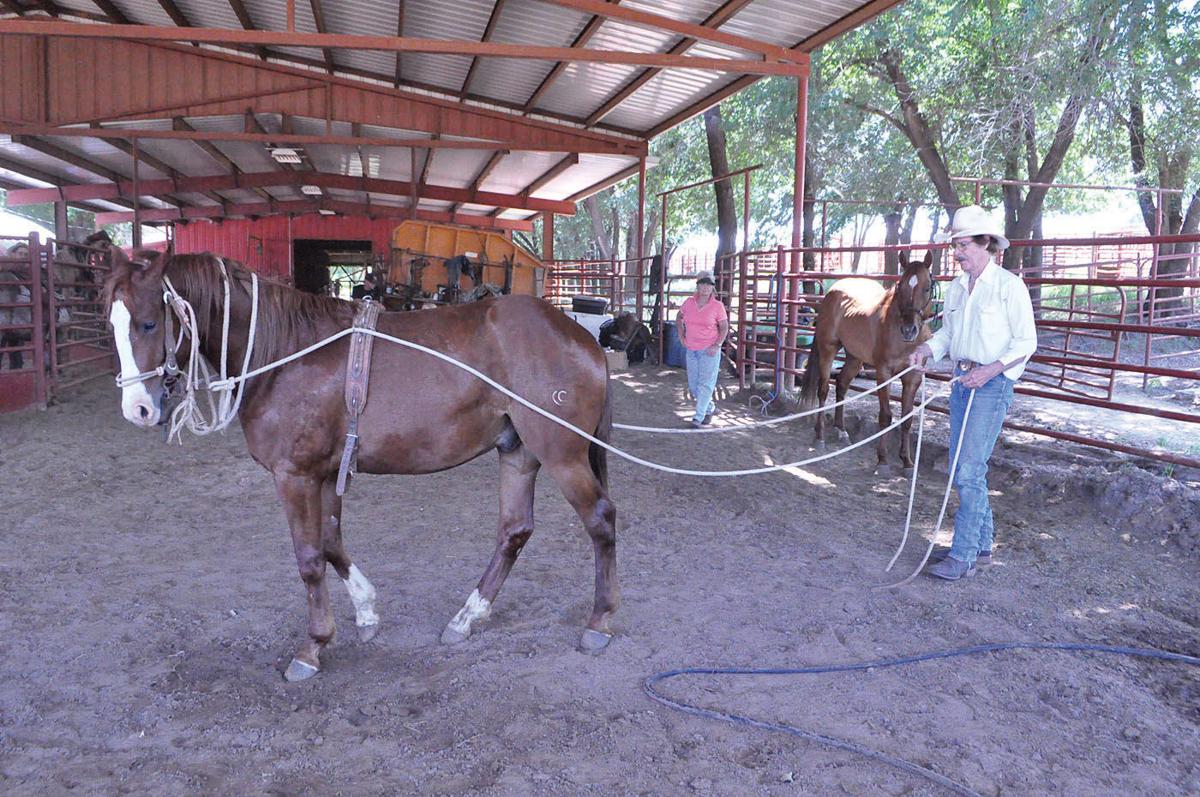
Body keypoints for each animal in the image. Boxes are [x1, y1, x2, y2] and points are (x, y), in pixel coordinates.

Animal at [103, 248, 618, 681]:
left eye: (148, 324)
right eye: (111, 324)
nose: (137, 409)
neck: (286, 354)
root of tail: (582, 337)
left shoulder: (295, 476)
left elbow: (310, 559)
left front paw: (313, 647)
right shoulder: (326, 473)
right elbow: (332, 544)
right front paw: (367, 613)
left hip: (562, 453)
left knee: (600, 520)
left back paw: (600, 622)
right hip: (518, 452)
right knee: (515, 530)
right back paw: (466, 618)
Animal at [798, 251, 936, 472]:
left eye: (926, 288)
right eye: (900, 286)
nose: (908, 330)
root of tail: (832, 292)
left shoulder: (913, 377)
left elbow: (907, 419)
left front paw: (907, 461)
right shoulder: (884, 373)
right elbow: (886, 416)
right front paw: (883, 460)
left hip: (855, 359)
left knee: (841, 384)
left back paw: (841, 431)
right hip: (828, 350)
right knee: (824, 390)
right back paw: (820, 436)